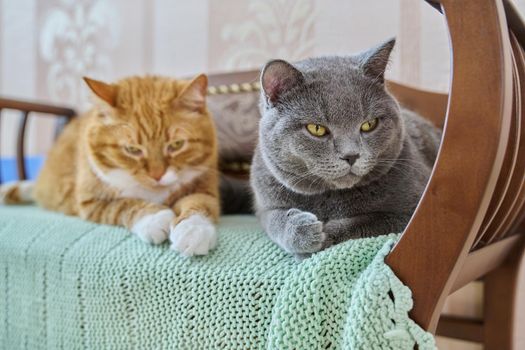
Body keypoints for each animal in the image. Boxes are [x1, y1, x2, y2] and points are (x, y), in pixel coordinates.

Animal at [1, 74, 220, 254]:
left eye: (176, 145)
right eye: (132, 150)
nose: (157, 175)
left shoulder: (204, 188)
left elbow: (199, 204)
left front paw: (193, 231)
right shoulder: (90, 202)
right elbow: (124, 205)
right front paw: (156, 217)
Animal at [252, 39, 440, 258]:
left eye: (369, 124)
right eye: (316, 129)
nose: (351, 155)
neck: (330, 197)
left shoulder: (413, 213)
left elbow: (366, 221)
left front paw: (323, 235)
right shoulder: (263, 205)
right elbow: (274, 220)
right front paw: (301, 230)